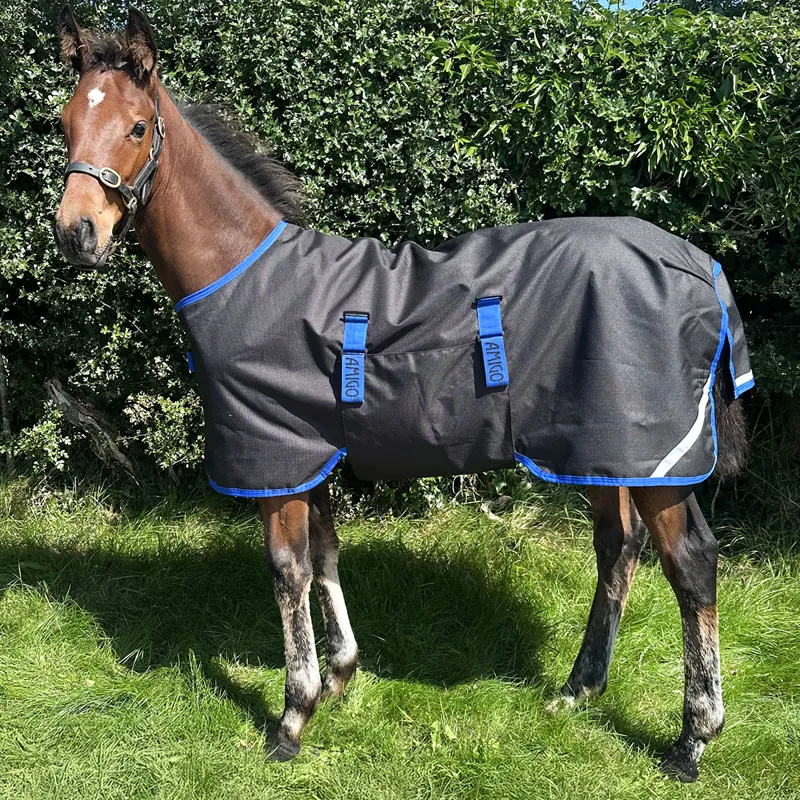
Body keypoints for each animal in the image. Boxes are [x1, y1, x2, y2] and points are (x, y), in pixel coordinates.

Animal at [53, 8, 753, 782]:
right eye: (64, 122)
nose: (76, 232)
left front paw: (293, 716)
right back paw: (578, 690)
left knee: (690, 566)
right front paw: (339, 676)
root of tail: (696, 263)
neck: (246, 276)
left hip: (658, 460)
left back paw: (692, 738)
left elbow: (288, 571)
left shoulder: (277, 458)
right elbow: (326, 554)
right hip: (598, 451)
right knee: (618, 548)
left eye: (137, 126)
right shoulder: (312, 455)